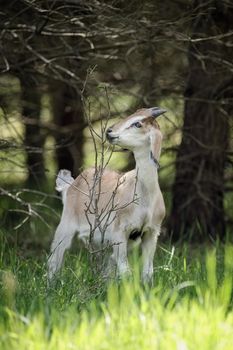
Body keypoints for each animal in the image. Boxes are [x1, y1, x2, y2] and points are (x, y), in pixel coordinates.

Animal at [48, 106, 166, 282]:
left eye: (137, 123)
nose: (109, 131)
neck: (144, 196)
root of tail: (71, 185)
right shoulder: (120, 231)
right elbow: (125, 270)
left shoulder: (151, 233)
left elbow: (147, 272)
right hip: (66, 225)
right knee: (55, 258)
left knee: (104, 266)